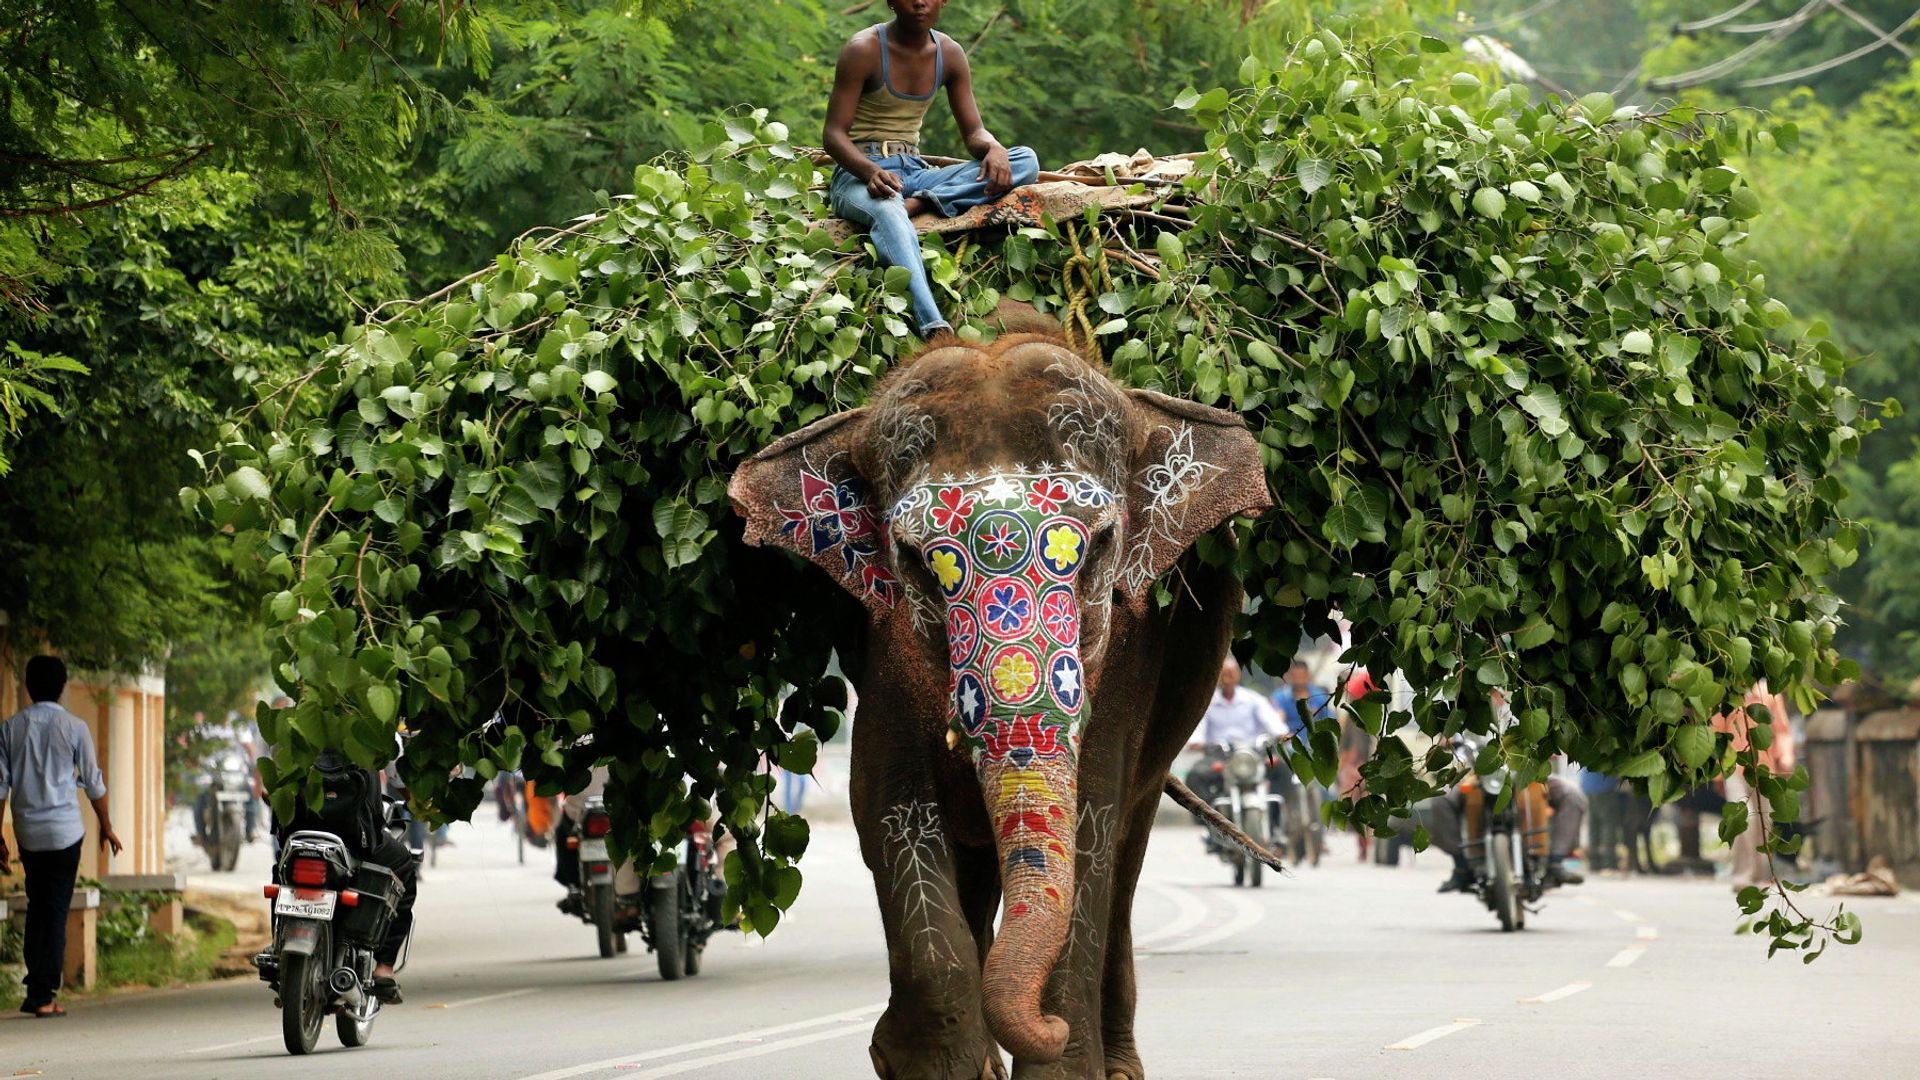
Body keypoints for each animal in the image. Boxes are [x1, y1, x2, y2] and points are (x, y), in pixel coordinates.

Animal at [729, 304, 1271, 1079]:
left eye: (1100, 544)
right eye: (915, 558)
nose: (1044, 1021)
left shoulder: (1132, 643)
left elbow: (1092, 824)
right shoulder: (884, 642)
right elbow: (888, 804)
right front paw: (931, 1065)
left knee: (1128, 846)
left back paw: (1116, 1064)